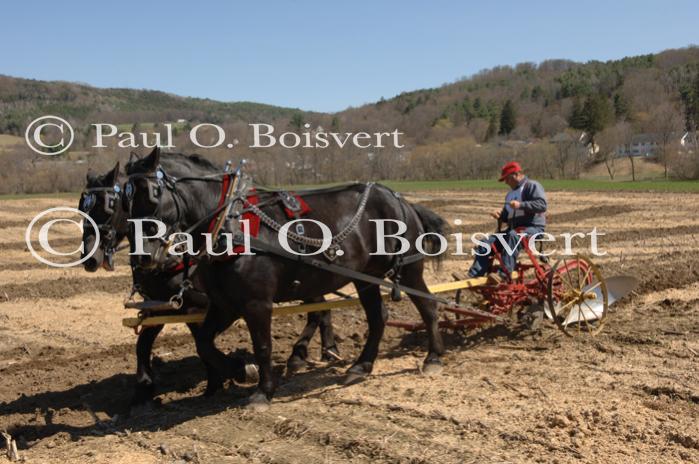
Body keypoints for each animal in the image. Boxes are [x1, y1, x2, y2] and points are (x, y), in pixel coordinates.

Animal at [80, 157, 340, 406]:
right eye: (83, 206)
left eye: (109, 204)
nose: (89, 259)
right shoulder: (162, 306)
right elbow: (143, 344)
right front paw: (143, 389)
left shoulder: (195, 306)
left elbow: (200, 343)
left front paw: (222, 379)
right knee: (321, 306)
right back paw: (325, 350)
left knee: (319, 309)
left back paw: (306, 354)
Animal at [124, 149, 442, 410]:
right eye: (124, 202)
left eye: (153, 194)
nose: (144, 258)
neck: (230, 225)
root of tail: (399, 199)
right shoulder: (223, 303)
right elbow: (203, 342)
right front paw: (239, 369)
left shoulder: (256, 303)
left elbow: (263, 345)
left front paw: (262, 391)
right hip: (367, 278)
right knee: (378, 317)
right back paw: (360, 367)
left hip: (410, 270)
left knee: (428, 308)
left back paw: (433, 358)